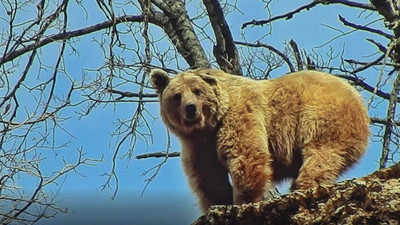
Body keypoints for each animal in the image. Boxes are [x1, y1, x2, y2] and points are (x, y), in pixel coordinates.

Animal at [151, 68, 372, 213]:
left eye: (197, 91)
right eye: (177, 96)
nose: (191, 108)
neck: (208, 127)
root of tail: (358, 98)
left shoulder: (239, 115)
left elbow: (245, 155)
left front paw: (242, 201)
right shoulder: (198, 145)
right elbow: (209, 176)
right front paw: (218, 204)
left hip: (322, 112)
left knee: (322, 152)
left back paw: (303, 185)